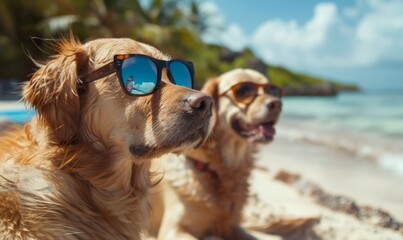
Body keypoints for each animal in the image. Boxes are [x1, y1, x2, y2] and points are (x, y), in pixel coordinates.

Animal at [149, 68, 316, 239]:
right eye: (244, 91)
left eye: (273, 91)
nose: (277, 104)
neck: (217, 170)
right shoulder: (173, 229)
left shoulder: (232, 226)